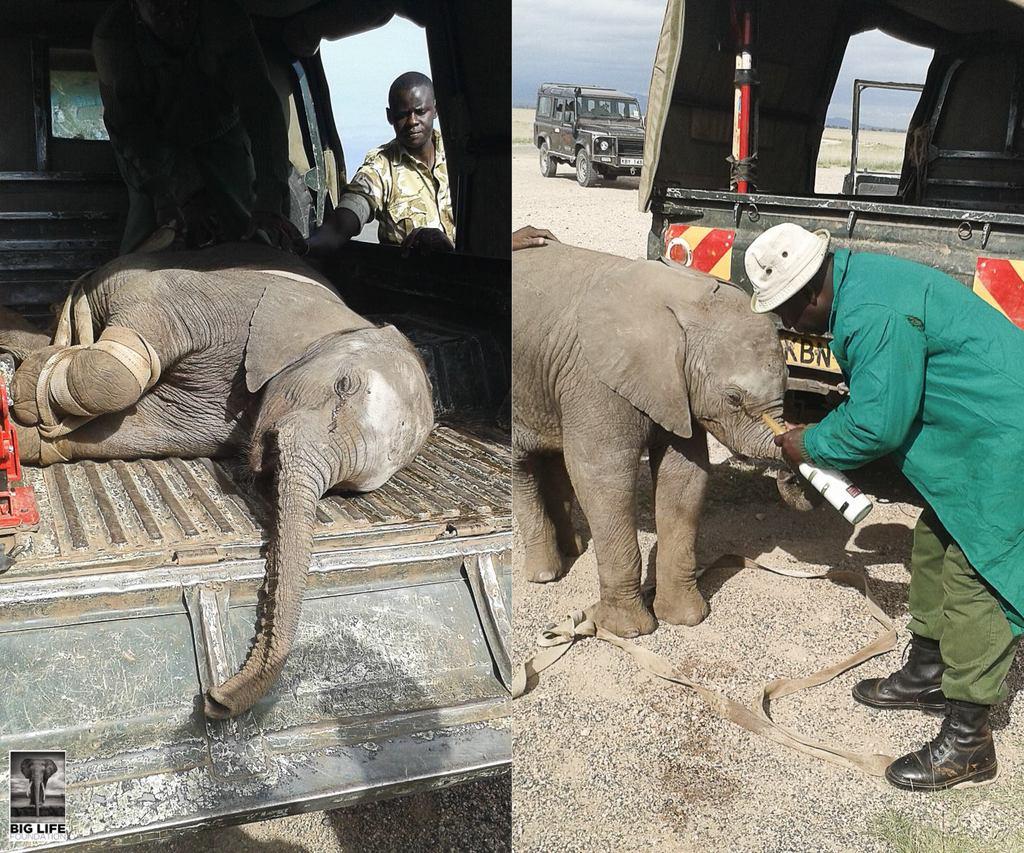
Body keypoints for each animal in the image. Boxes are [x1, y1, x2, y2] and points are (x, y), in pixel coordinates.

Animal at [0, 241, 430, 720]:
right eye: (344, 386)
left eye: (349, 489)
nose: (216, 700)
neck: (343, 320)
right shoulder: (220, 302)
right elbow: (126, 360)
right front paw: (25, 392)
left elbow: (143, 429)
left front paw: (27, 428)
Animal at [516, 242, 794, 634]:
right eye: (733, 398)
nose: (790, 475)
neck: (684, 299)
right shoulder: (595, 380)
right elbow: (603, 477)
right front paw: (628, 630)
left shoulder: (676, 390)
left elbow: (685, 476)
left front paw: (687, 618)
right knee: (521, 467)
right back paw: (545, 573)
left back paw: (574, 549)